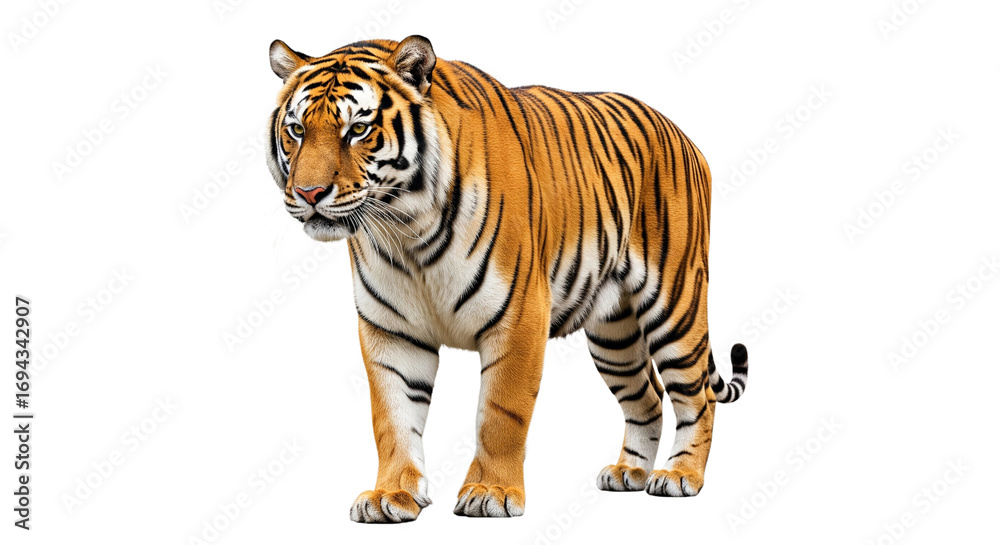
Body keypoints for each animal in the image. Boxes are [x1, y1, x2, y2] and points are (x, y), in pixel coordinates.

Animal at [265, 35, 748, 523]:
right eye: (298, 130)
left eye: (359, 130)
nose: (308, 193)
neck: (406, 229)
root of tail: (684, 135)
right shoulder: (391, 330)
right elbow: (393, 417)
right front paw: (392, 495)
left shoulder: (519, 317)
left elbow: (500, 413)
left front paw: (491, 492)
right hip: (614, 335)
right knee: (647, 398)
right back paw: (628, 472)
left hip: (676, 305)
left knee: (697, 398)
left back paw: (680, 476)